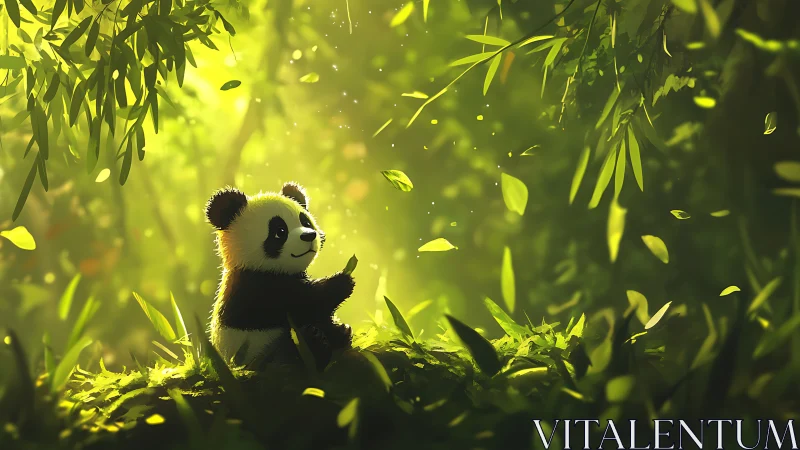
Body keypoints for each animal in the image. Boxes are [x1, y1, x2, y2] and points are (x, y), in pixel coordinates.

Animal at [205, 182, 355, 371]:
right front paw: (341, 282)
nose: (309, 235)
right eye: (280, 231)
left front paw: (340, 329)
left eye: (306, 221)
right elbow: (302, 303)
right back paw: (316, 343)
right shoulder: (256, 287)